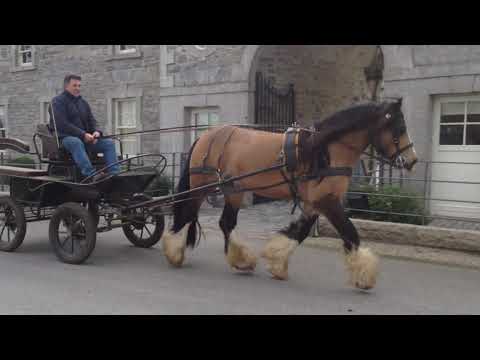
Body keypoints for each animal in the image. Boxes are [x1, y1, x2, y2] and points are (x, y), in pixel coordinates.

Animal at [160, 98, 416, 290]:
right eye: (400, 128)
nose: (412, 160)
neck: (324, 149)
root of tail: (205, 136)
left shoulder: (315, 202)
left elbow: (300, 232)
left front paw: (277, 262)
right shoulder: (327, 201)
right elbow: (350, 233)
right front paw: (364, 276)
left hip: (233, 189)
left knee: (225, 222)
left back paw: (240, 260)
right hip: (202, 187)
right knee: (188, 215)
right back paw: (175, 251)